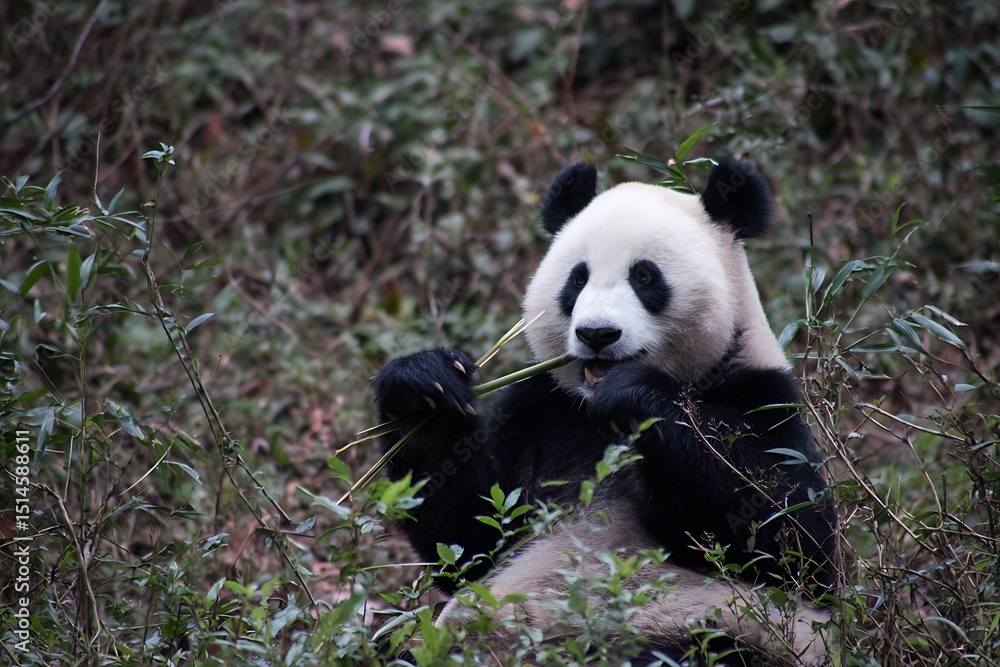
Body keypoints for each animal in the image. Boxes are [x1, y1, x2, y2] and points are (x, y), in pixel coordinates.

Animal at [372, 160, 838, 665]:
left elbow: (790, 541)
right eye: (578, 278)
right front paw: (422, 388)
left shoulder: (763, 397)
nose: (597, 334)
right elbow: (471, 535)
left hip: (718, 630)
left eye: (646, 277)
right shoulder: (545, 408)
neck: (594, 409)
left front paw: (634, 394)